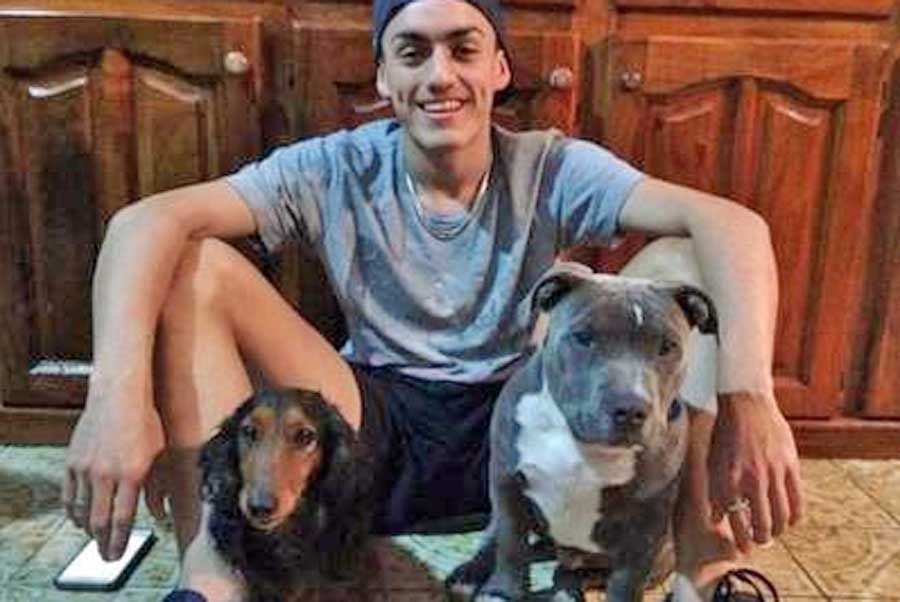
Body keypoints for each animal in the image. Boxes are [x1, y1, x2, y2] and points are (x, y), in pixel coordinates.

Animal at [447, 250, 718, 601]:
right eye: (583, 337)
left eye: (668, 347)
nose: (630, 409)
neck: (582, 443)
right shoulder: (507, 483)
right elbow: (511, 545)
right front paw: (503, 590)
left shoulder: (646, 526)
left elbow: (626, 581)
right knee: (501, 538)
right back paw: (471, 572)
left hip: (661, 554)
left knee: (574, 571)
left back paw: (567, 587)